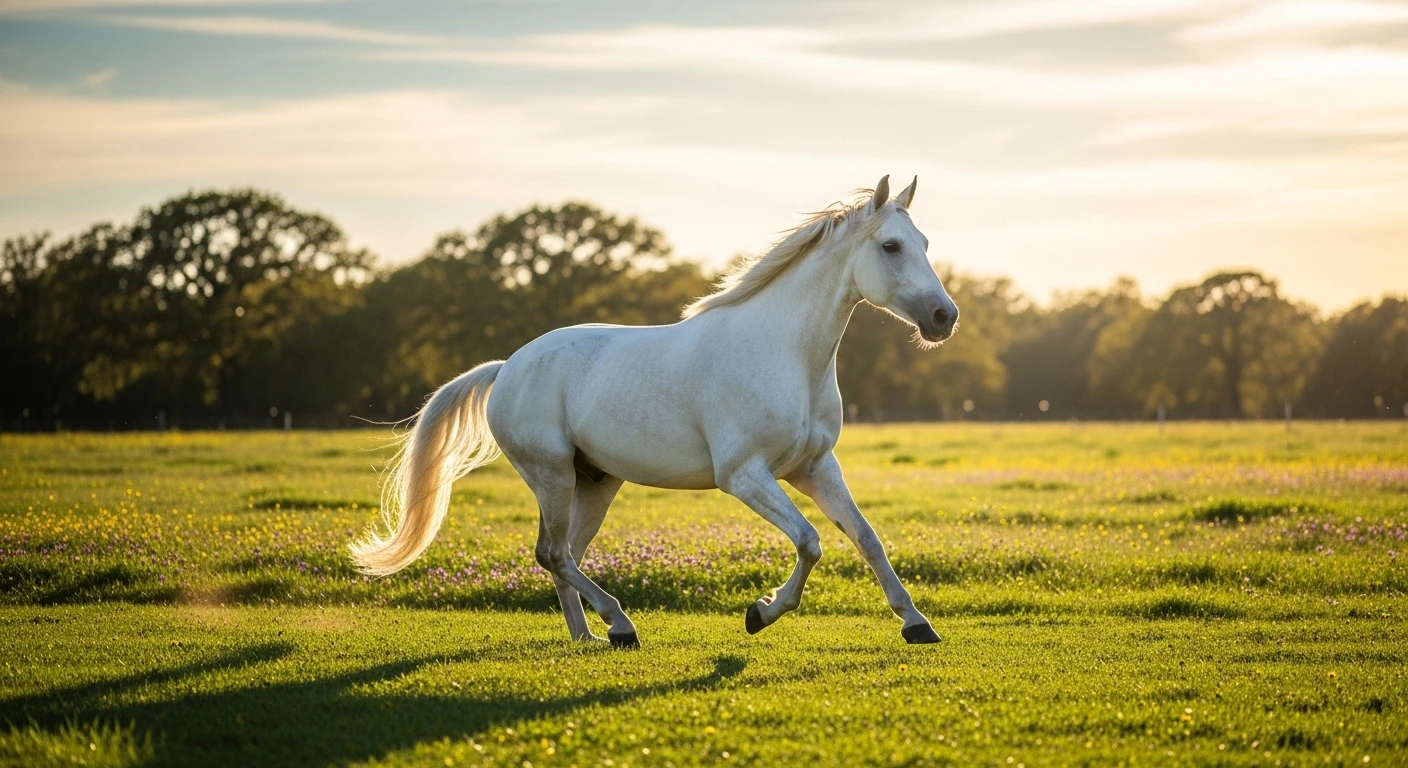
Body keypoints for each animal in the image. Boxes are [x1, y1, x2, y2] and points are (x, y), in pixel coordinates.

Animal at [350, 175, 960, 648]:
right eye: (891, 246)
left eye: (925, 241)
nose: (943, 317)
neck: (783, 353)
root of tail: (507, 367)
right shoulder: (743, 476)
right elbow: (810, 542)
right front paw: (759, 613)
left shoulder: (814, 468)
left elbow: (866, 538)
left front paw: (917, 624)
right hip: (551, 475)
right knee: (553, 554)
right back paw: (620, 626)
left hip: (593, 483)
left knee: (562, 554)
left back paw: (587, 637)